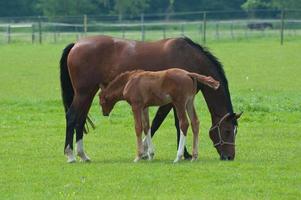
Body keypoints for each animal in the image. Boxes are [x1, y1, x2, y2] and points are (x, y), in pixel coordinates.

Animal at [59, 34, 243, 162]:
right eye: (227, 131)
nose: (229, 157)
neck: (189, 58)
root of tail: (76, 44)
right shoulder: (170, 102)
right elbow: (160, 123)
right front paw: (152, 152)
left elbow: (164, 124)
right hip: (83, 93)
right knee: (72, 117)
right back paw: (70, 155)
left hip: (88, 93)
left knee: (80, 119)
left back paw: (83, 155)